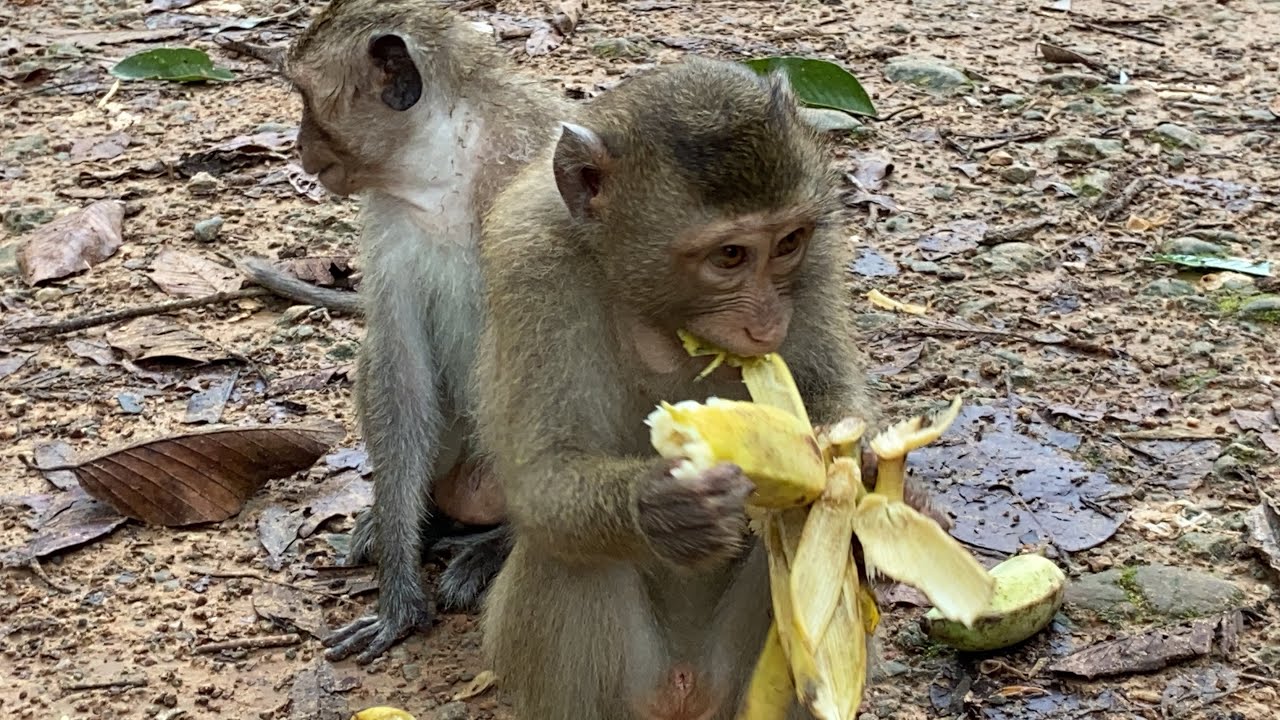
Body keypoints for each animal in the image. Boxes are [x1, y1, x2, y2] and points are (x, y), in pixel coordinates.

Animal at [248, 0, 571, 664]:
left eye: (307, 98)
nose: (299, 147)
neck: (451, 168)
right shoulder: (390, 216)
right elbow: (401, 367)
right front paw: (399, 595)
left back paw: (495, 543)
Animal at [471, 55, 942, 719]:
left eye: (788, 243)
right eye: (729, 256)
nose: (767, 322)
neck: (657, 309)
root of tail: (686, 689)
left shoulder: (821, 251)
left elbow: (830, 396)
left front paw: (874, 475)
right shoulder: (531, 262)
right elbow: (542, 477)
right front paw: (670, 511)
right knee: (569, 559)